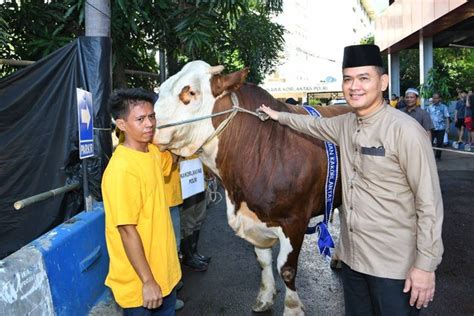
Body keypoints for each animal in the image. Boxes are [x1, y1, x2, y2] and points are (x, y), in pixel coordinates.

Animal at [154, 60, 350, 314]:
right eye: (161, 88)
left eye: (190, 93)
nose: (148, 121)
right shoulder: (254, 219)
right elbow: (263, 261)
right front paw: (265, 297)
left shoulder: (295, 220)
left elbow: (286, 269)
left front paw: (292, 308)